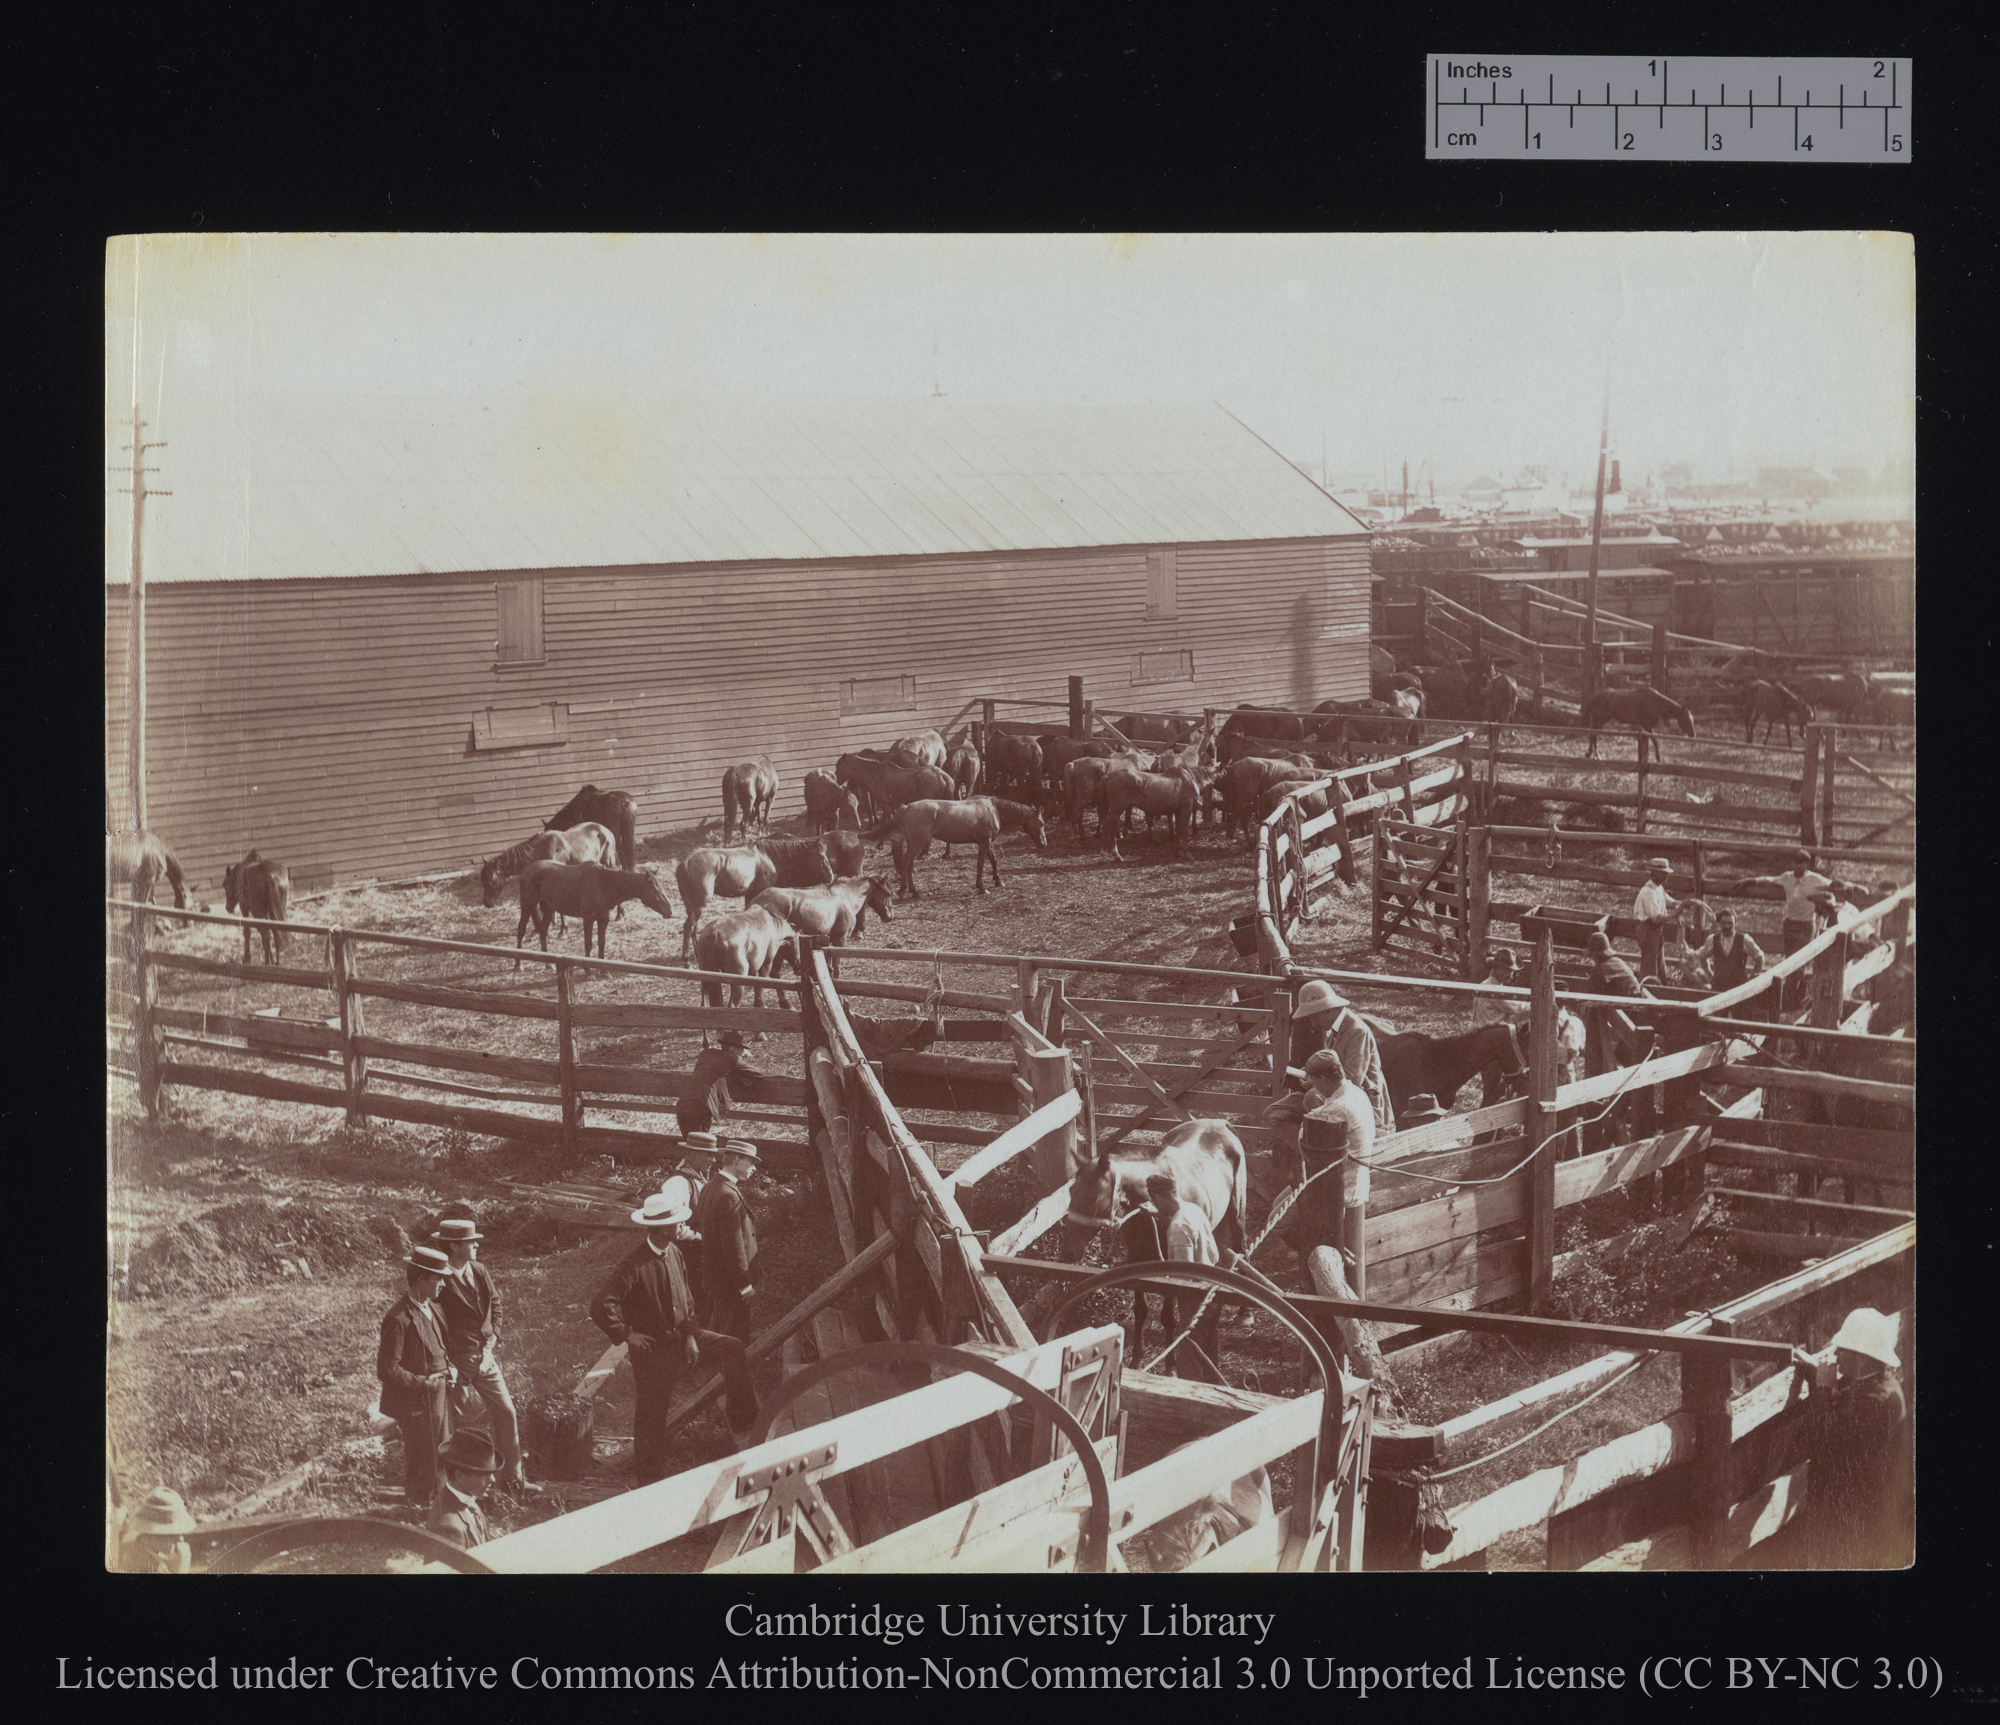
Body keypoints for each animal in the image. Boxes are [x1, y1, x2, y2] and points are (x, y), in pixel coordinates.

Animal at [476, 820, 616, 912]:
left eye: (491, 880)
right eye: (482, 881)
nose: (486, 903)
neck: (541, 848)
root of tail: (606, 830)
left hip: (609, 861)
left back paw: (618, 914)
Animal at [512, 856, 676, 964]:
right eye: (655, 890)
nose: (670, 912)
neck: (604, 884)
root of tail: (526, 870)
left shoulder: (603, 919)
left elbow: (601, 943)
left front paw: (603, 971)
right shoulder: (588, 918)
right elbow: (588, 943)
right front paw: (588, 972)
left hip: (548, 908)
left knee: (543, 931)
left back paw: (548, 964)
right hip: (528, 905)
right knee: (521, 930)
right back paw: (517, 966)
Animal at [892, 800, 1048, 904]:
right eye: (1041, 823)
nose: (1044, 844)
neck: (993, 809)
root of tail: (906, 807)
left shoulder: (987, 842)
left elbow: (993, 860)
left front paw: (998, 881)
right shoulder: (984, 842)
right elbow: (981, 864)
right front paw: (981, 887)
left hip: (914, 843)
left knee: (909, 864)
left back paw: (914, 891)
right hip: (918, 843)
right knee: (905, 861)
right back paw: (904, 890)